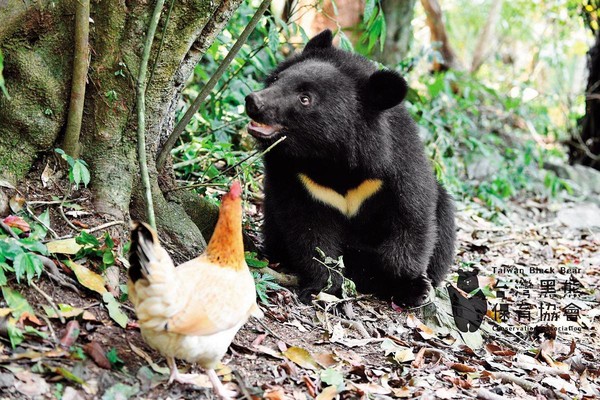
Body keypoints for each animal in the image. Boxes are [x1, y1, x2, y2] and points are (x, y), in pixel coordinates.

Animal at [244, 29, 454, 306]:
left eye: (305, 99)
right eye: (277, 79)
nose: (253, 101)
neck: (332, 161)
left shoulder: (397, 165)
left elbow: (411, 218)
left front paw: (408, 285)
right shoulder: (297, 178)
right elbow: (309, 231)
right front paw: (324, 286)